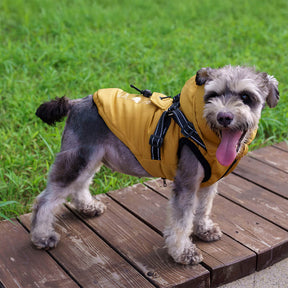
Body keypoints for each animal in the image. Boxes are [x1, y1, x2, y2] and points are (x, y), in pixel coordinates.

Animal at [31, 66, 280, 266]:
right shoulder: (187, 184)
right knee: (46, 199)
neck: (203, 131)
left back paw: (88, 207)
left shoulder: (207, 183)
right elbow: (181, 221)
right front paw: (183, 252)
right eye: (213, 95)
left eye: (246, 96)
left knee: (80, 184)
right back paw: (42, 236)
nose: (224, 117)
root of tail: (75, 104)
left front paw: (204, 229)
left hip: (90, 158)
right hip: (78, 159)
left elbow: (203, 208)